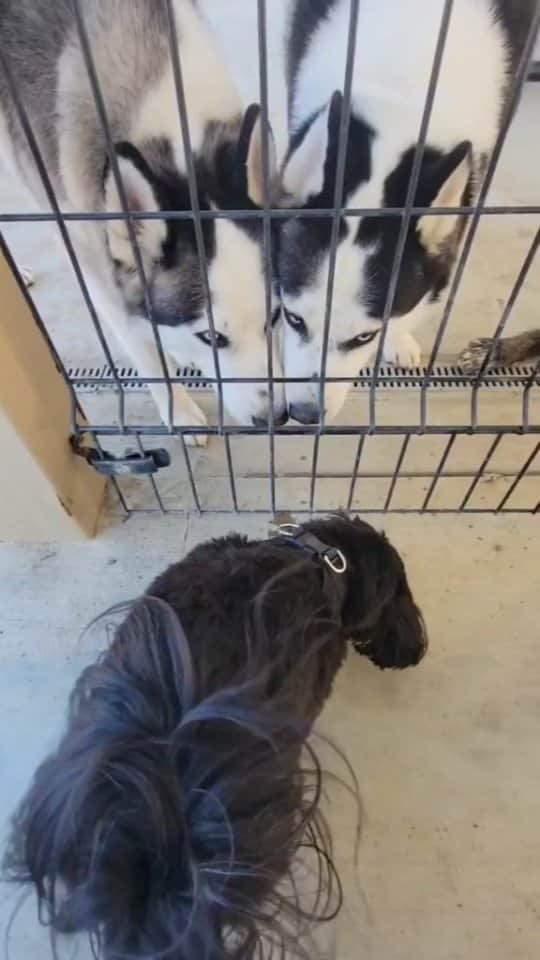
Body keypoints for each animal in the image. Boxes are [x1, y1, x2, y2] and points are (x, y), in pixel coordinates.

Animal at [0, 0, 286, 438]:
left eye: (273, 318)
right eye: (212, 337)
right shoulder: (95, 266)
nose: (277, 418)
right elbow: (144, 350)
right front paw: (178, 409)